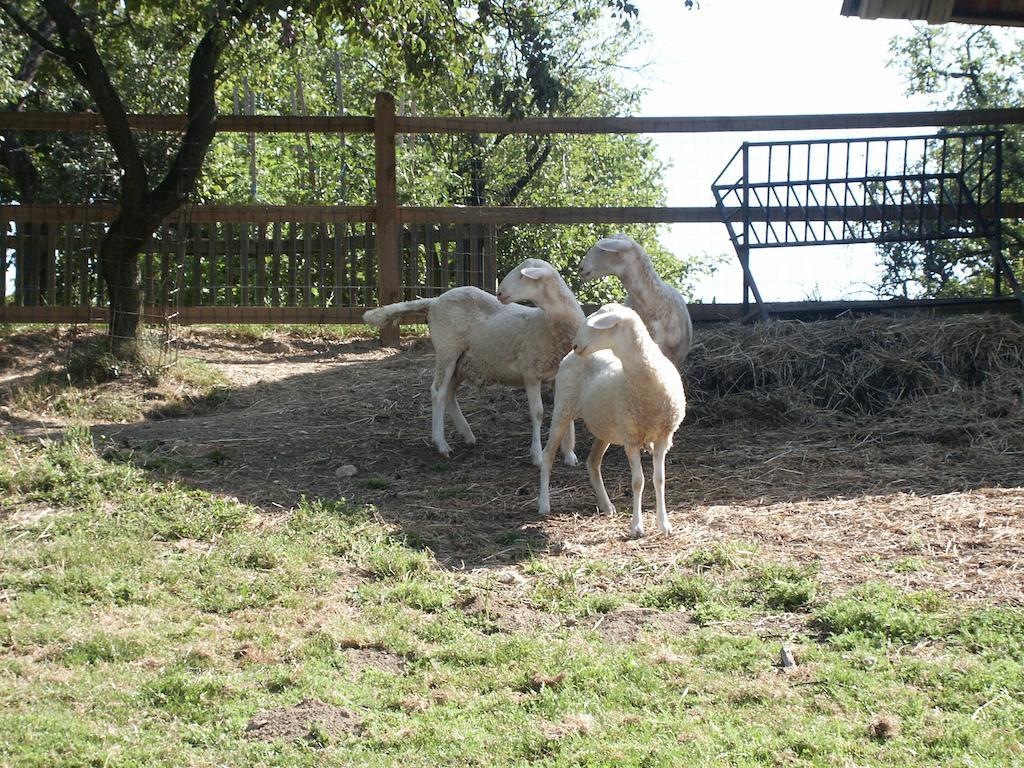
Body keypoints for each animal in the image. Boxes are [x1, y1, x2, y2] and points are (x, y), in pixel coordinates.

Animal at [360, 259, 585, 466]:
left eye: (522, 276)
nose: (500, 293)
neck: (548, 326)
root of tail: (435, 300)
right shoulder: (530, 372)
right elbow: (537, 413)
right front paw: (537, 456)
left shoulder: (557, 376)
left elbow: (565, 413)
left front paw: (569, 455)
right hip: (447, 350)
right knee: (438, 392)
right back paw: (442, 445)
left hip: (462, 363)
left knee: (449, 394)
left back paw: (467, 435)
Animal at [536, 303, 688, 536]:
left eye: (595, 326)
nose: (576, 344)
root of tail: (569, 356)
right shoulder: (631, 438)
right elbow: (638, 481)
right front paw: (636, 527)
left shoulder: (663, 436)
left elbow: (659, 479)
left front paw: (664, 524)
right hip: (563, 409)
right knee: (547, 455)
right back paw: (544, 504)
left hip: (605, 425)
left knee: (592, 462)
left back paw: (607, 506)